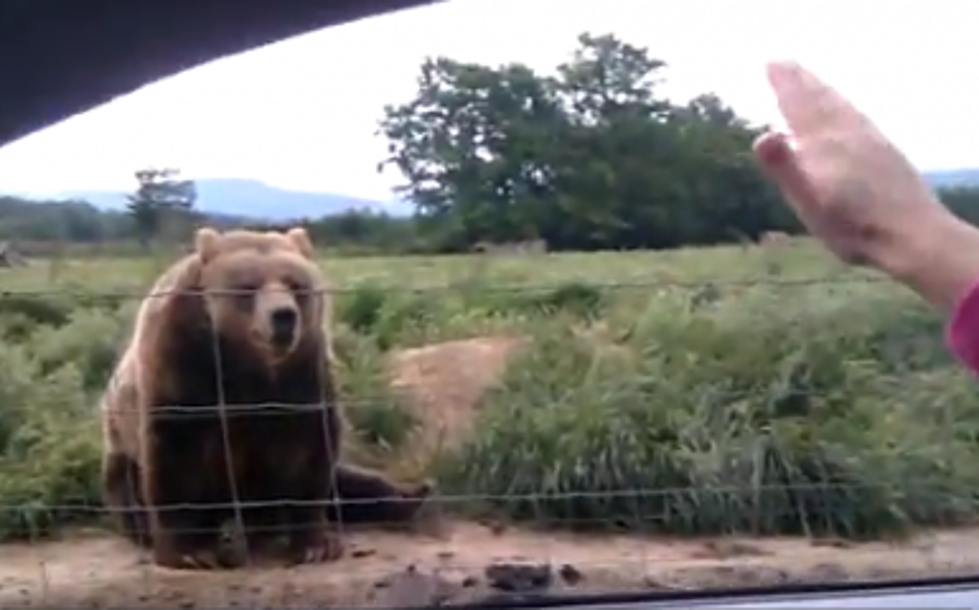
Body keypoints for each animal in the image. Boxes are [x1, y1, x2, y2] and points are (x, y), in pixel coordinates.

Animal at [99, 226, 432, 568]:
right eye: (248, 286)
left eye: (295, 284)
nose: (283, 316)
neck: (248, 363)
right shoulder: (182, 364)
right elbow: (177, 454)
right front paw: (189, 552)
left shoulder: (301, 373)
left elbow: (308, 451)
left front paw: (316, 544)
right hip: (120, 452)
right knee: (128, 488)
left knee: (348, 481)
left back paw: (414, 493)